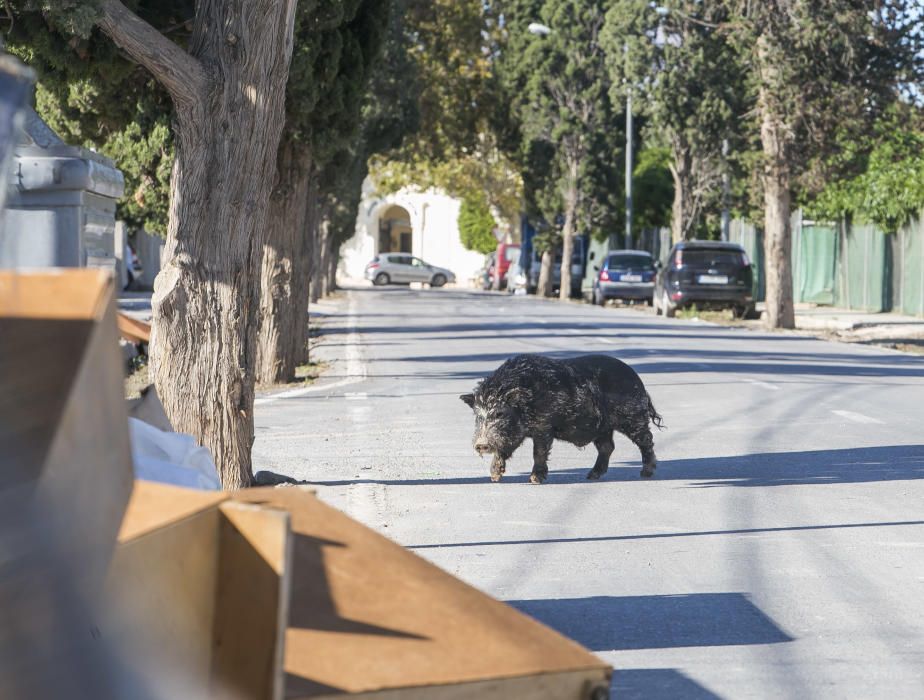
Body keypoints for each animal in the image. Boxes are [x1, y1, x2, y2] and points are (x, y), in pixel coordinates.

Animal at [458, 356, 660, 482]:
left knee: (646, 440)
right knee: (607, 447)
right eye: (478, 416)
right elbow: (502, 450)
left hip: (634, 418)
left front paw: (534, 480)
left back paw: (646, 472)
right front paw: (494, 478)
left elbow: (538, 452)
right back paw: (591, 475)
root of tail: (637, 379)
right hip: (603, 427)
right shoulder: (516, 433)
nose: (481, 444)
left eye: (500, 413)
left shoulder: (543, 426)